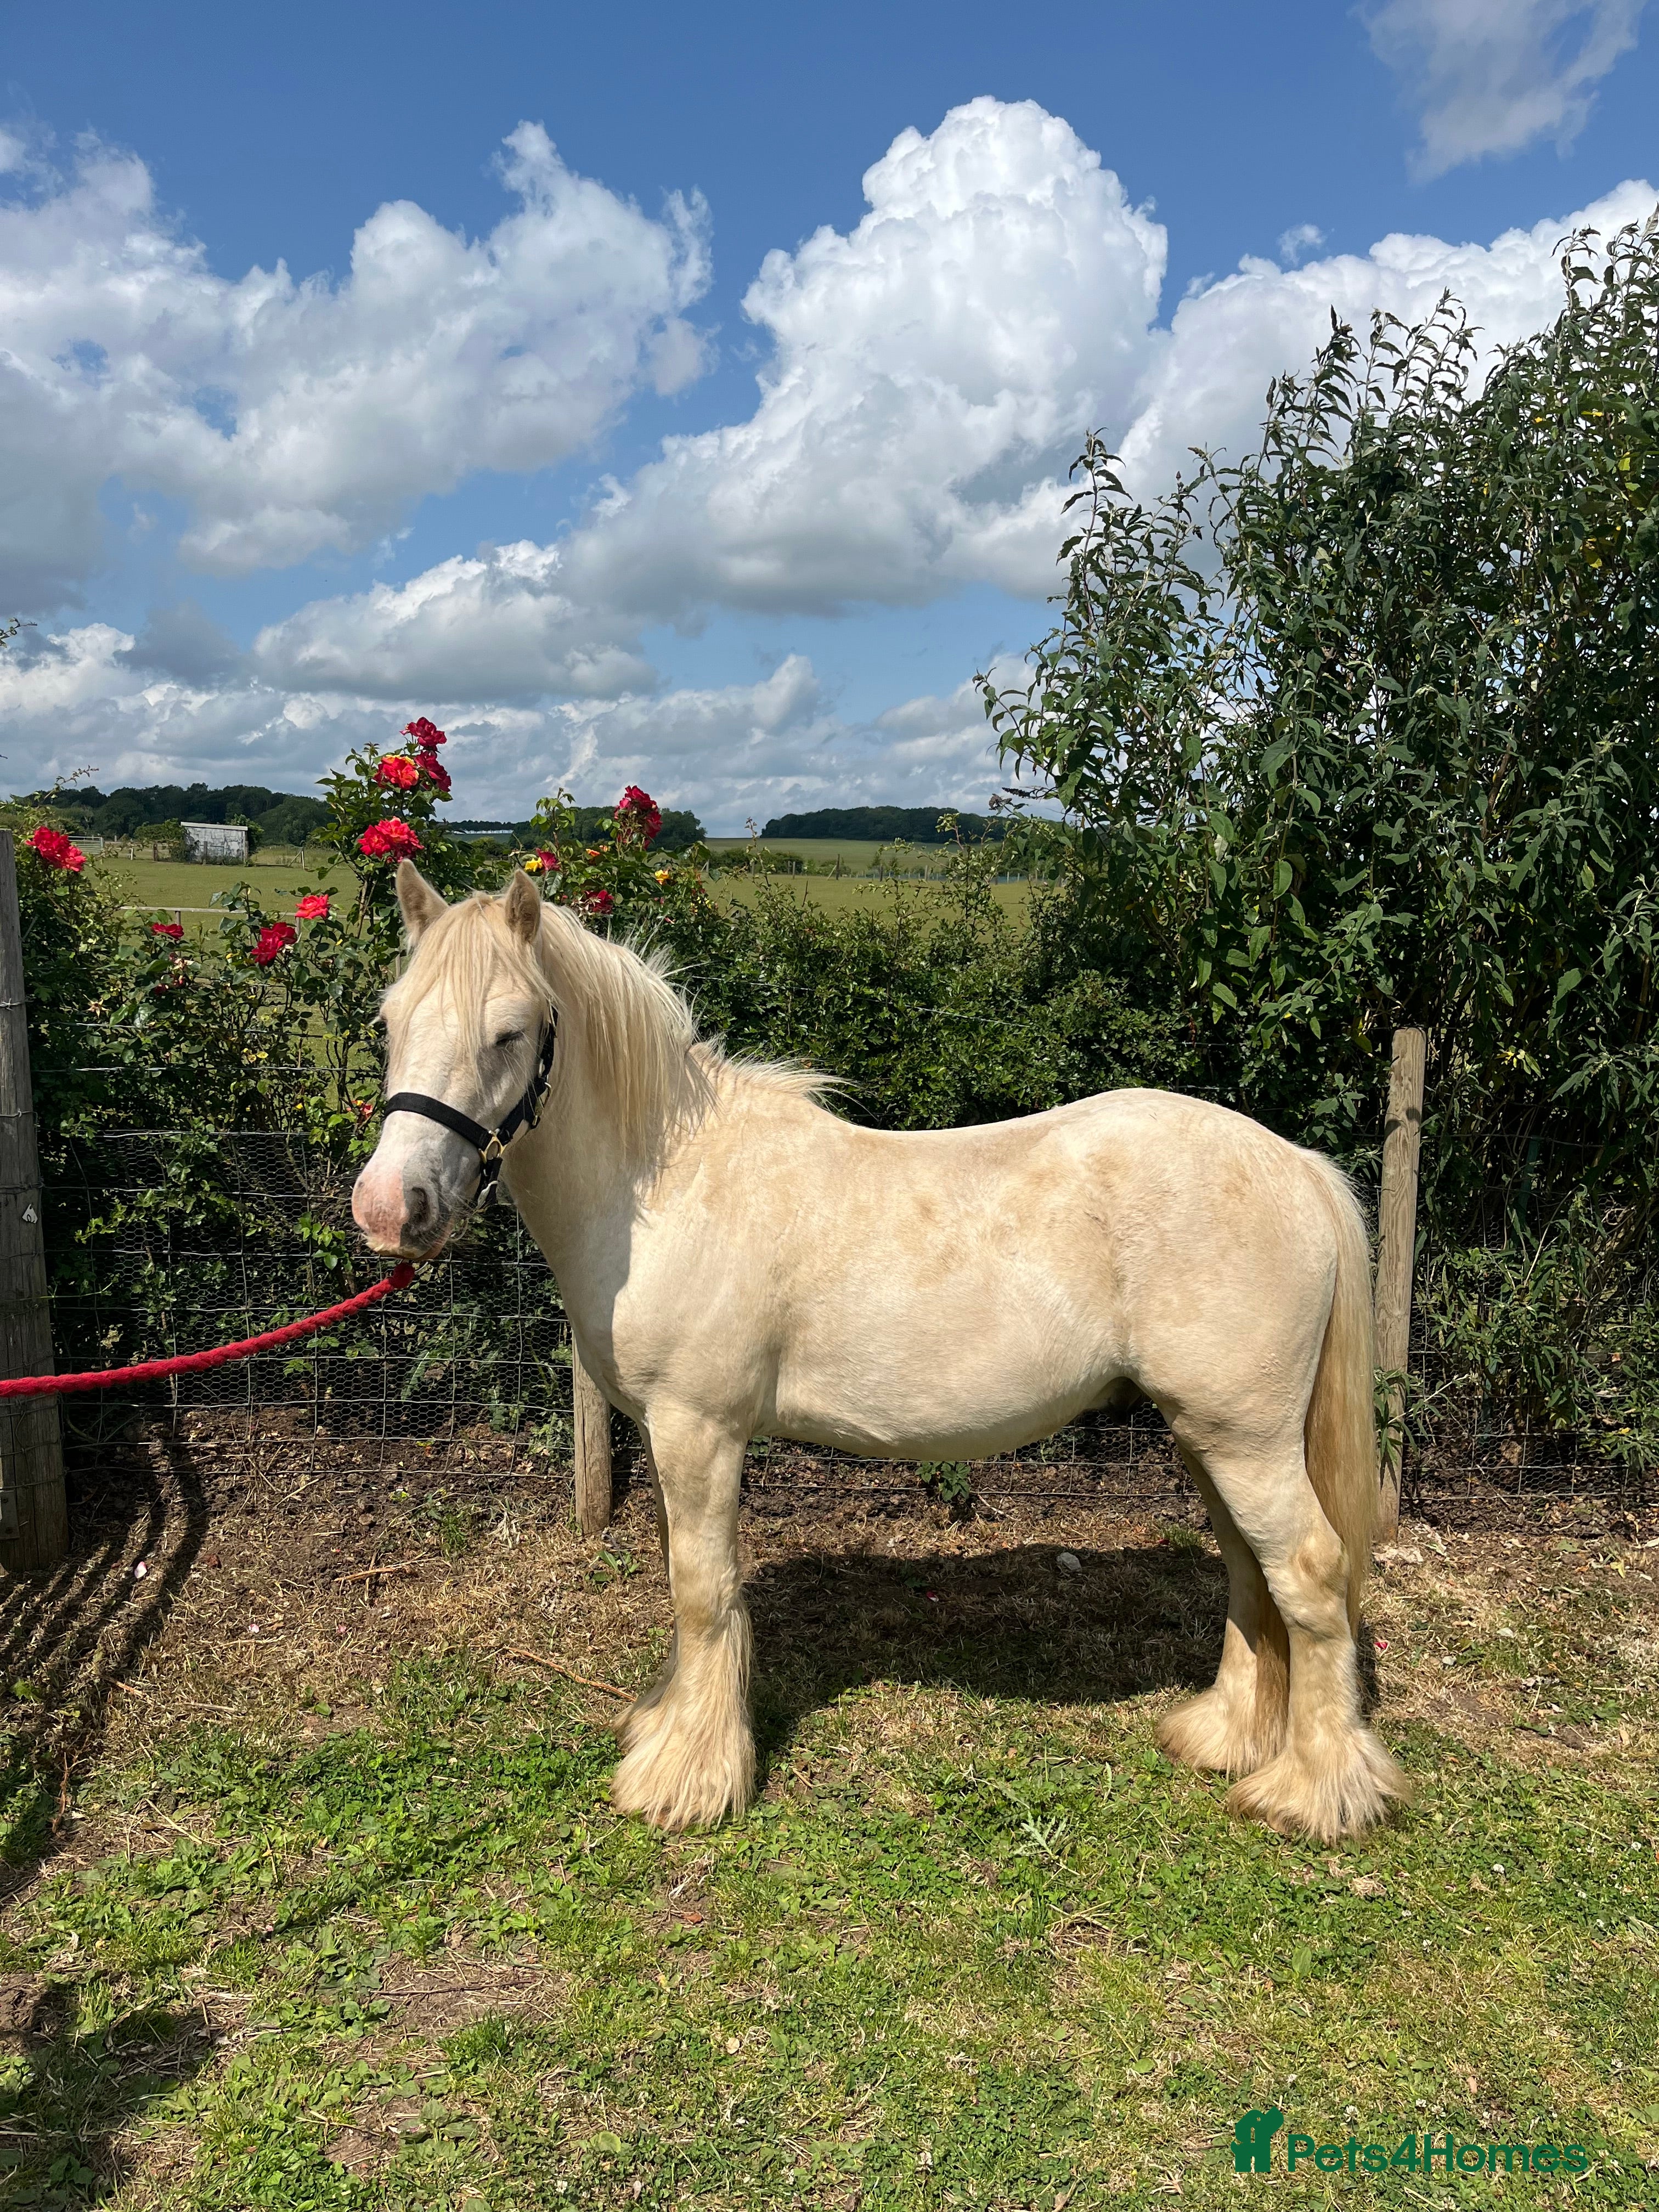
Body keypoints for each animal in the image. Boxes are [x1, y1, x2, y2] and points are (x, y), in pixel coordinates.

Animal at [352, 864, 1409, 1844]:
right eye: (388, 1019)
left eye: (510, 1032)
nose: (390, 1209)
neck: (668, 1185)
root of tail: (1295, 1165)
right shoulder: (662, 1434)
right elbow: (682, 1579)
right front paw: (668, 1729)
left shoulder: (698, 1429)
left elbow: (702, 1591)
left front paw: (688, 1780)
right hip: (1208, 1437)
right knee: (1248, 1571)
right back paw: (1224, 1735)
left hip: (1244, 1439)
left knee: (1308, 1573)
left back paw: (1313, 1792)